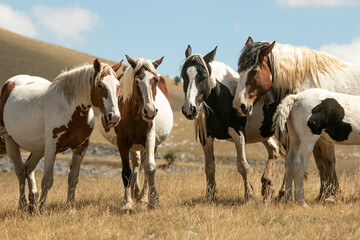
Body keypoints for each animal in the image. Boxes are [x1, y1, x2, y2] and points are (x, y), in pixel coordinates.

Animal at [0, 58, 122, 210]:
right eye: (100, 84)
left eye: (118, 85)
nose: (114, 117)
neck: (71, 110)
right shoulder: (52, 147)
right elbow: (47, 180)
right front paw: (42, 208)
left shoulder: (81, 148)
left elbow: (73, 178)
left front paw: (70, 207)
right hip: (11, 141)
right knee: (20, 171)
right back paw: (23, 204)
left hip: (38, 148)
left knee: (28, 167)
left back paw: (32, 202)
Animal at [97, 54, 172, 210]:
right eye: (137, 81)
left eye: (155, 80)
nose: (150, 111)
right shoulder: (122, 141)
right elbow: (127, 172)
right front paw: (127, 203)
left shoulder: (150, 137)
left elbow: (150, 168)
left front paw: (154, 200)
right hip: (132, 145)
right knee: (136, 165)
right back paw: (135, 192)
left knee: (142, 166)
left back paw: (142, 196)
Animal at [181, 45, 280, 201]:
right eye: (183, 76)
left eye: (202, 76)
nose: (188, 109)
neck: (221, 96)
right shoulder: (206, 137)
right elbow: (209, 167)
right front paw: (210, 196)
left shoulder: (238, 132)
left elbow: (243, 166)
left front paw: (249, 195)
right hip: (264, 133)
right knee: (274, 150)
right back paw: (268, 187)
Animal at [232, 36, 360, 201]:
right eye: (239, 71)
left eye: (254, 71)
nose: (238, 105)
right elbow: (317, 162)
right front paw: (323, 194)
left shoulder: (322, 136)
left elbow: (328, 161)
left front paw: (330, 195)